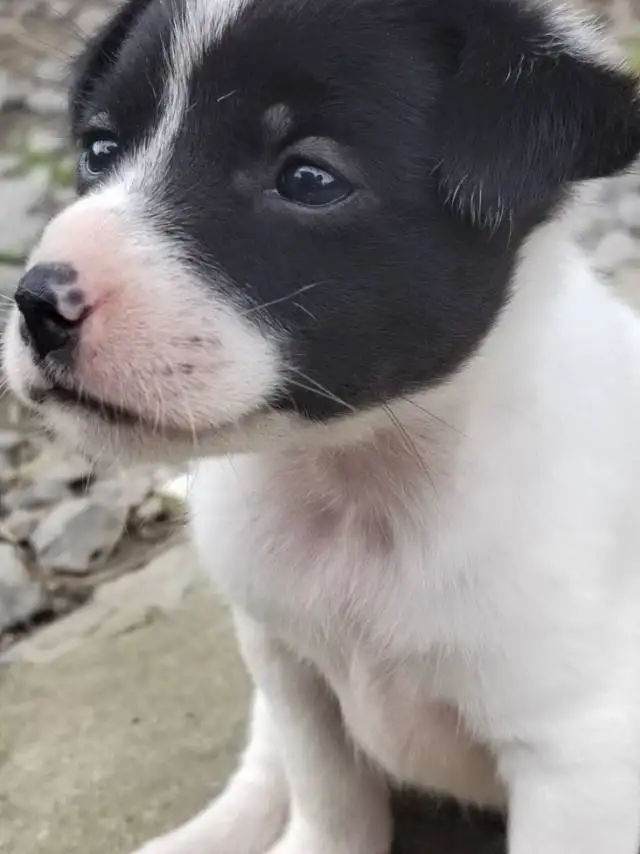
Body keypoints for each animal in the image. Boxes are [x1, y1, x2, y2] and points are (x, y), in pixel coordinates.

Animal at [3, 0, 640, 852]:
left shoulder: (575, 757)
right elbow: (326, 799)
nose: (38, 304)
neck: (357, 485)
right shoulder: (289, 671)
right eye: (100, 150)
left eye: (308, 179)